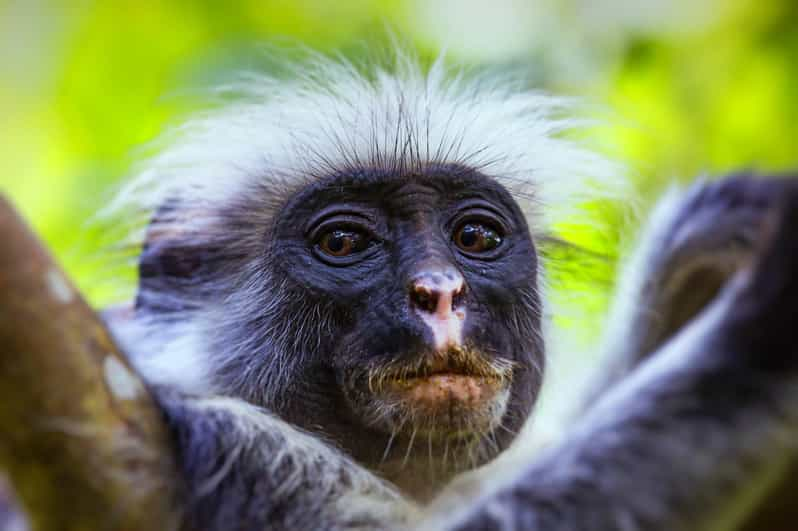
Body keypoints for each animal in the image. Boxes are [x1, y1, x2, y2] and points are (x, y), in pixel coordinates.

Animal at [103, 48, 798, 528]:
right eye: (343, 243)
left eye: (476, 237)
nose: (440, 290)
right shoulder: (241, 444)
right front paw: (761, 323)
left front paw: (694, 256)